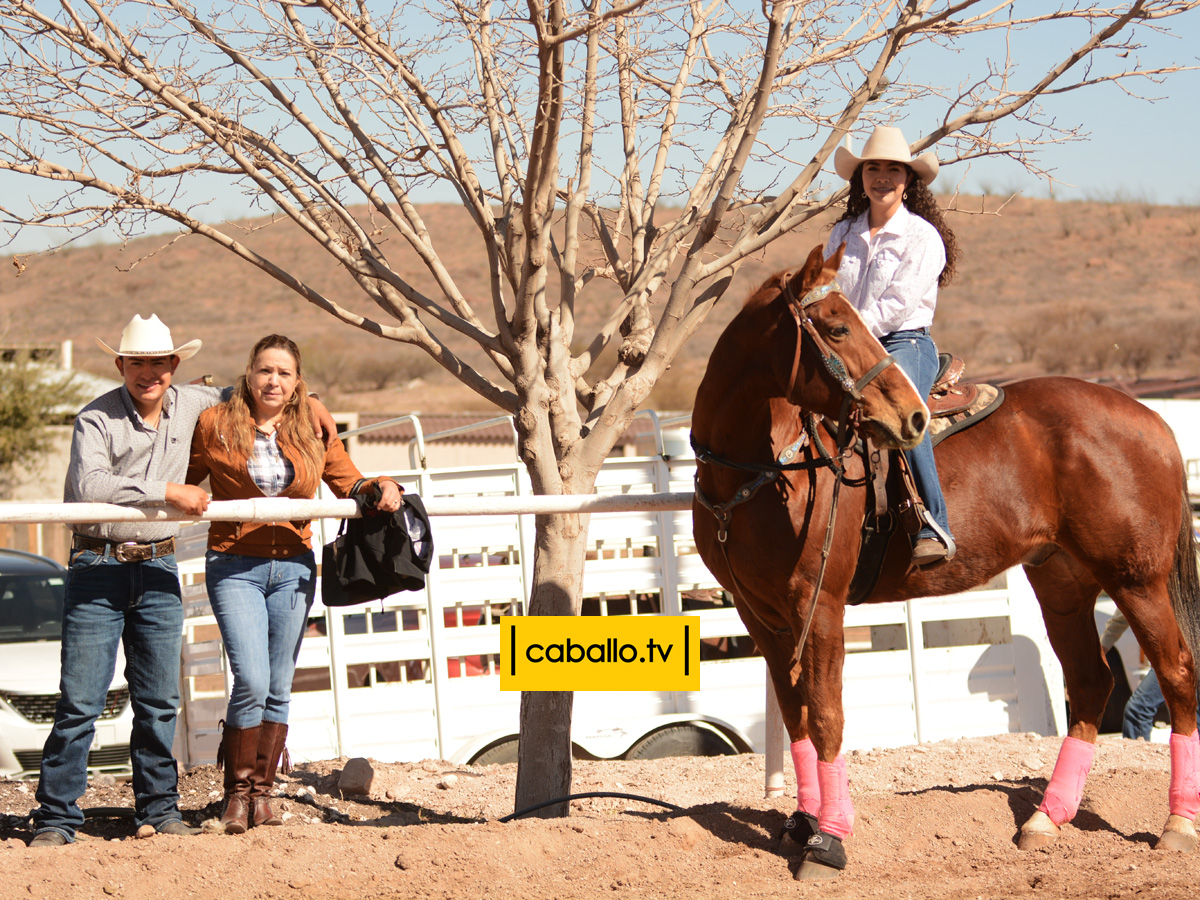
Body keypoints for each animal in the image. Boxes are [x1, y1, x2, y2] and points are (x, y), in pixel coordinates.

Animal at [691, 244, 1200, 880]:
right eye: (836, 327)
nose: (911, 417)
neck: (766, 467)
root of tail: (1153, 420)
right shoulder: (759, 614)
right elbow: (796, 715)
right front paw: (803, 824)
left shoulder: (819, 603)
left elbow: (828, 716)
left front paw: (829, 841)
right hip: (1062, 580)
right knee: (1089, 682)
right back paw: (1046, 819)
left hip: (1135, 580)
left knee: (1177, 673)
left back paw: (1177, 824)